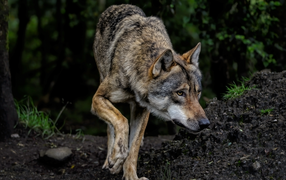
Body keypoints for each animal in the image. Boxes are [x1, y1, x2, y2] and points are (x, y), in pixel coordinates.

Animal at [91, 4, 210, 180]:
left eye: (198, 93)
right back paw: (109, 159)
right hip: (101, 79)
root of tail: (116, 6)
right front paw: (117, 154)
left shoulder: (142, 110)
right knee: (110, 127)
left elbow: (134, 147)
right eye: (180, 93)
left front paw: (131, 176)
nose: (205, 124)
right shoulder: (97, 98)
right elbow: (121, 120)